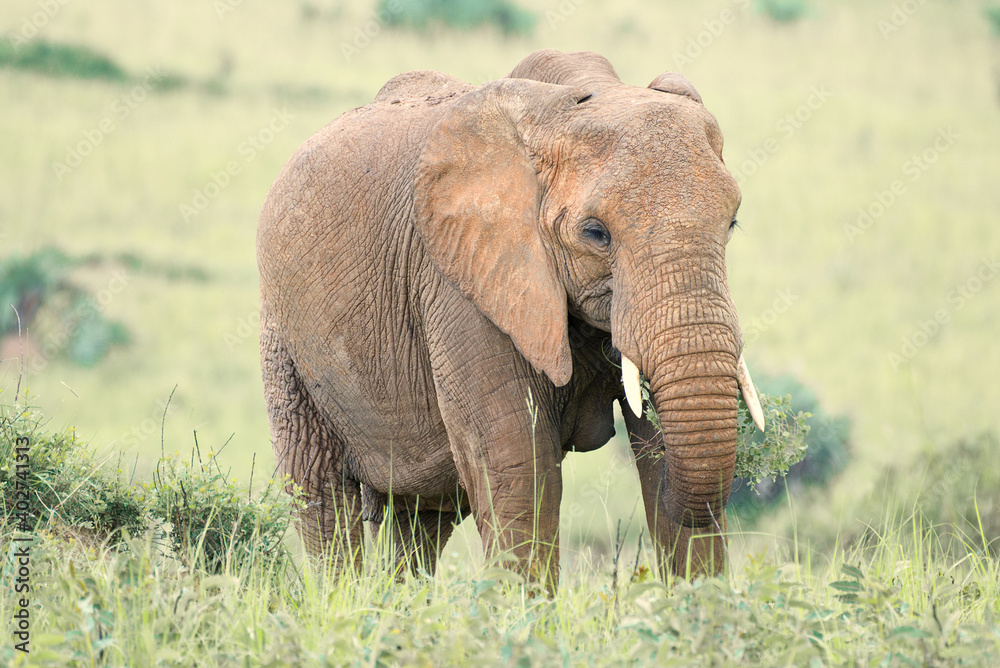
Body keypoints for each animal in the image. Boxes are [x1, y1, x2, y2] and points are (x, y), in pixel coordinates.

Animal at [257, 49, 765, 586]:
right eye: (595, 233)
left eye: (731, 222)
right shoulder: (462, 283)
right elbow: (517, 463)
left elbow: (657, 449)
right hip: (285, 341)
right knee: (322, 496)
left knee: (421, 518)